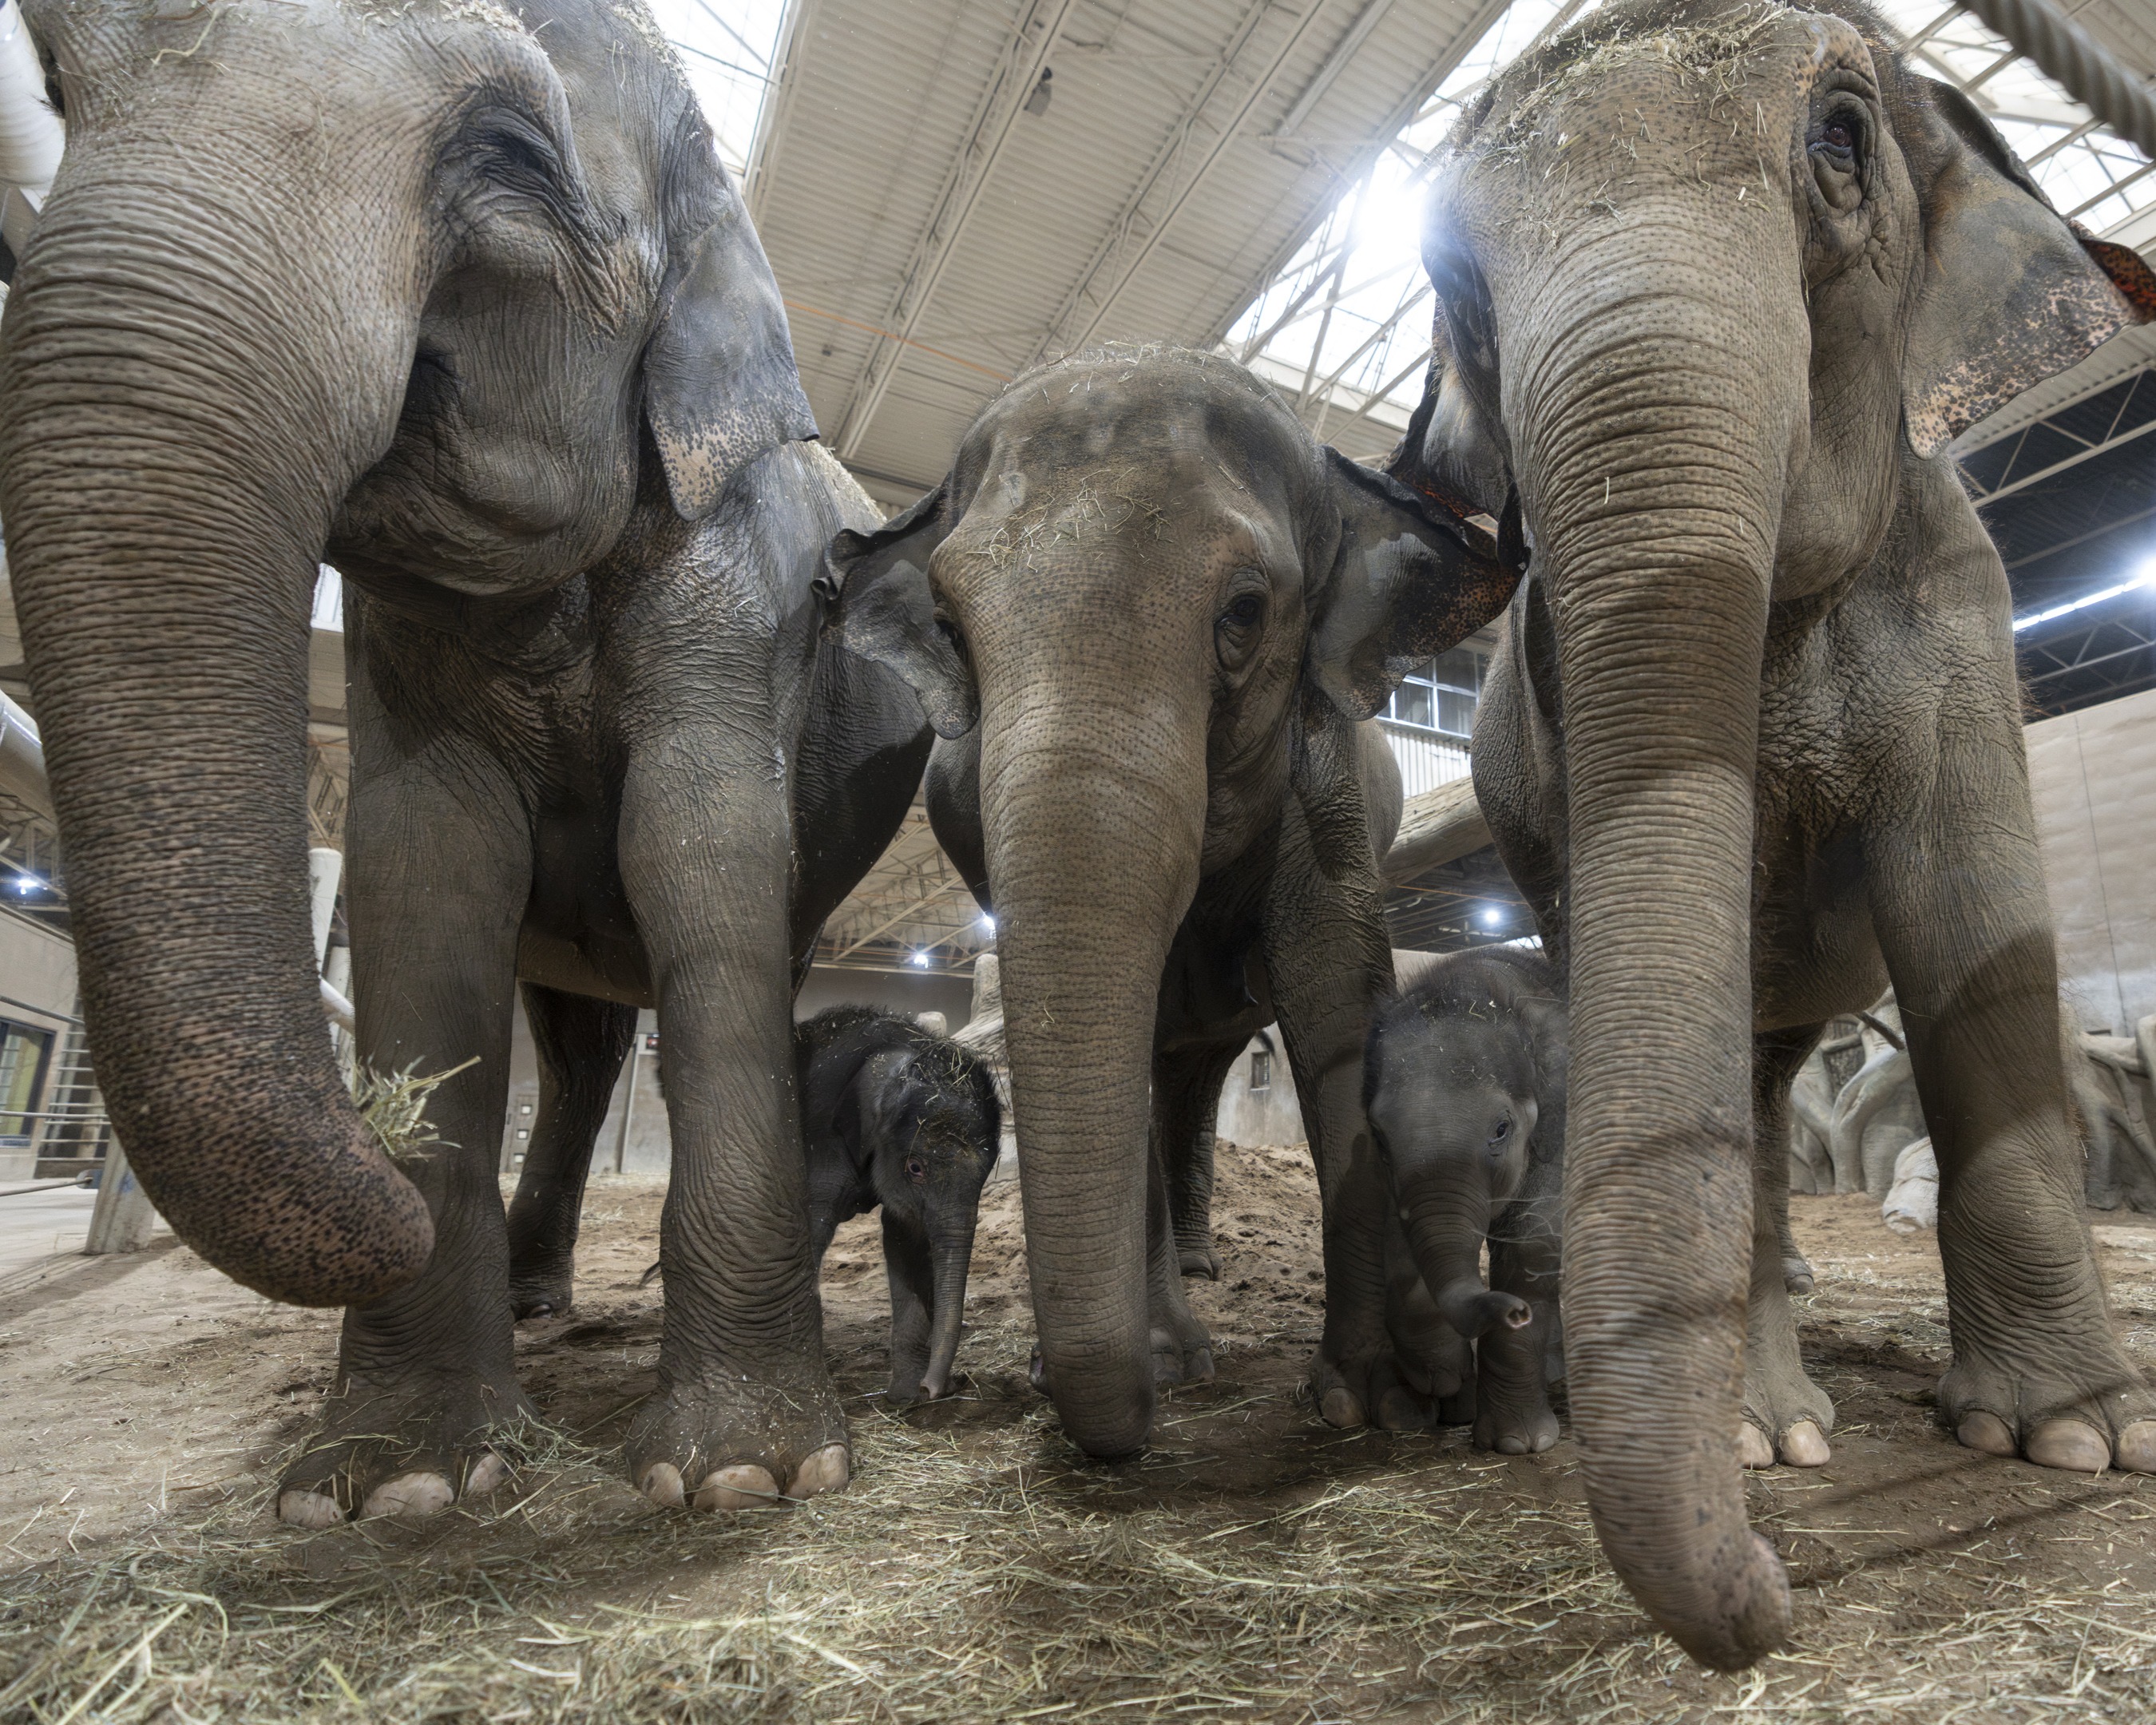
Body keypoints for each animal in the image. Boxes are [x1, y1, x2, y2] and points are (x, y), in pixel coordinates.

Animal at [0, 0, 929, 1522]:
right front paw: (396, 1488)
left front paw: (742, 1478)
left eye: (507, 155)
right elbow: (426, 874)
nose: (376, 1141)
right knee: (579, 1041)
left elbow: (702, 857)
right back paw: (544, 1300)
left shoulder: (739, 600)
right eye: (59, 84)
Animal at [794, 1006, 1002, 1405]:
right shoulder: (822, 1139)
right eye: (915, 1168)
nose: (934, 1388)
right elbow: (811, 1227)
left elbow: (907, 1238)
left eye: (988, 1171)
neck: (899, 1047)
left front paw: (907, 1400)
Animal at [821, 345, 1514, 1458]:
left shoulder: (1321, 770)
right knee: (1169, 1073)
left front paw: (1381, 1400)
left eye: (1245, 612)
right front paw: (1168, 1360)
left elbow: (1334, 995)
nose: (1138, 1425)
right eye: (950, 628)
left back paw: (1202, 1272)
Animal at [1365, 945, 1567, 1455]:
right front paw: (1438, 1376)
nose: (1515, 1311)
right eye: (1380, 1136)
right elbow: (1397, 1234)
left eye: (1501, 1129)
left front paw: (1518, 1444)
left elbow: (1535, 1240)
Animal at [1391, 0, 2156, 1665]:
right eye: (1452, 284)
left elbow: (1975, 932)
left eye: (1842, 142)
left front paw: (2075, 1440)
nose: (1768, 1591)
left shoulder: (1960, 602)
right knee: (1745, 1059)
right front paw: (1768, 1444)